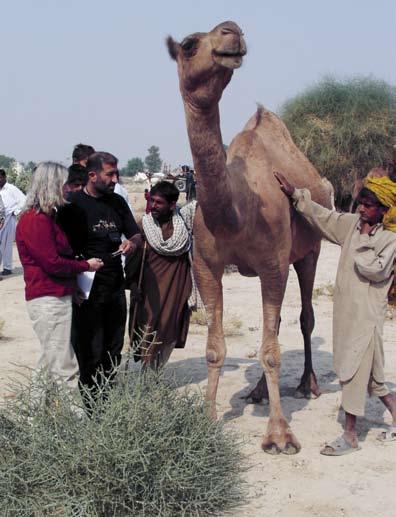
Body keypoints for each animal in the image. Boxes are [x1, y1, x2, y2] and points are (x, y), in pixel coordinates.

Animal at [167, 22, 332, 454]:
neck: (236, 212)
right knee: (275, 325)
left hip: (309, 251)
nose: (232, 31)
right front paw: (206, 420)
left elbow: (273, 351)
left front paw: (279, 435)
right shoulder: (206, 265)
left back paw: (307, 385)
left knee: (304, 318)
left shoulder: (274, 263)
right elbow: (215, 348)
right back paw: (257, 391)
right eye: (189, 44)